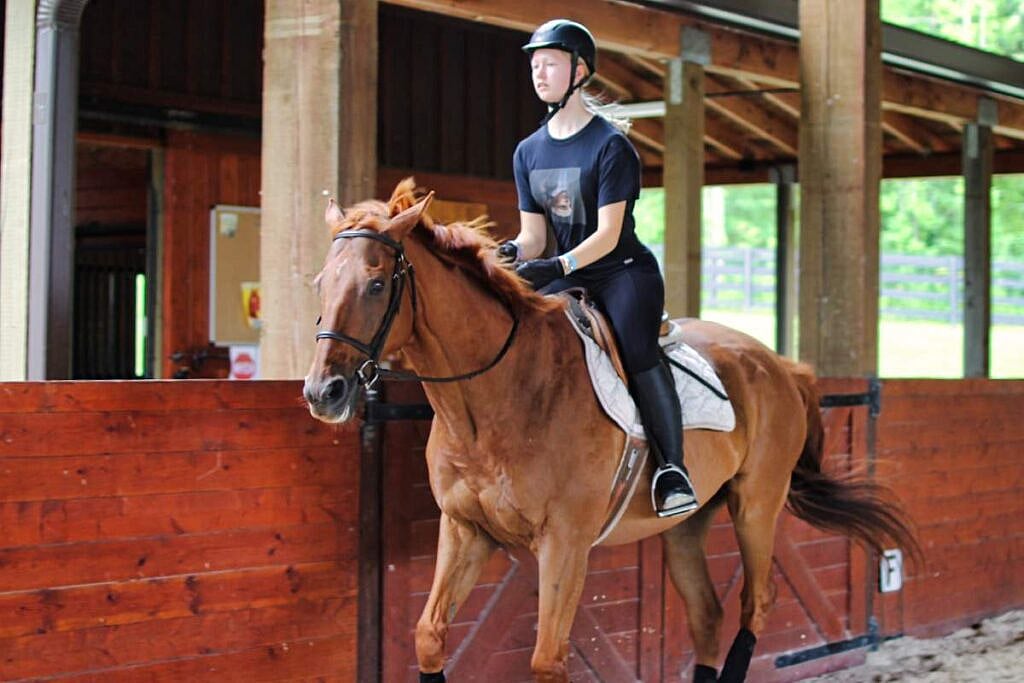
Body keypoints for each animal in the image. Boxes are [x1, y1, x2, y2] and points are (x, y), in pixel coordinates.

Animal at [303, 179, 918, 682]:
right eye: (320, 283)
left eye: (377, 285)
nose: (322, 392)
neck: (497, 401)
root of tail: (780, 365)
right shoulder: (465, 530)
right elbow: (430, 637)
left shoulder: (564, 541)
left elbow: (547, 660)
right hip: (687, 526)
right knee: (708, 615)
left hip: (757, 506)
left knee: (756, 603)